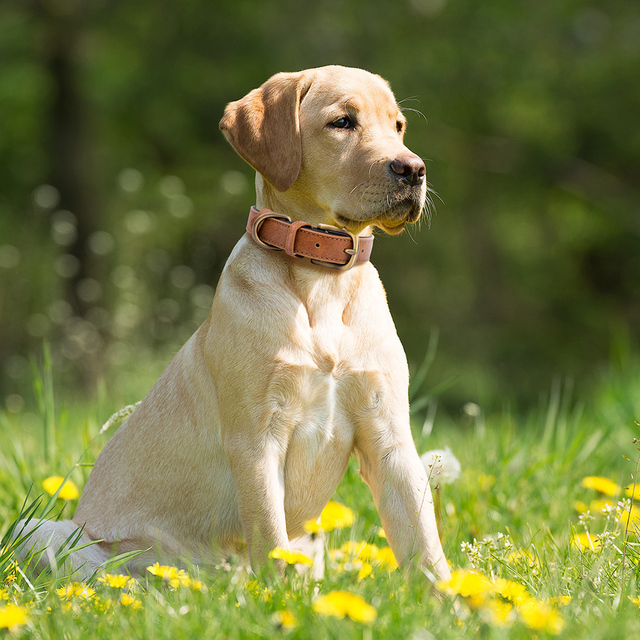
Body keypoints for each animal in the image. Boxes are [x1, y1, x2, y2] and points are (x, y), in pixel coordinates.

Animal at [18, 66, 450, 584]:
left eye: (399, 126)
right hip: (43, 531)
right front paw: (279, 596)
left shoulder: (389, 437)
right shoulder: (256, 439)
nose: (414, 169)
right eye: (343, 122)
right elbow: (270, 535)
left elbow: (425, 543)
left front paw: (455, 599)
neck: (322, 279)